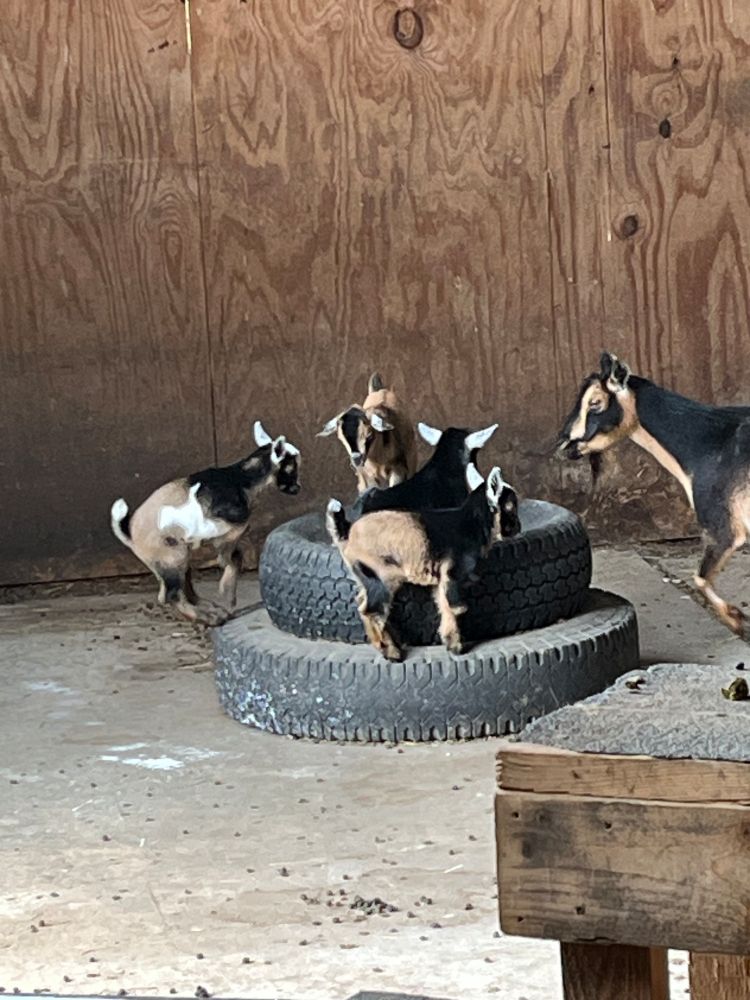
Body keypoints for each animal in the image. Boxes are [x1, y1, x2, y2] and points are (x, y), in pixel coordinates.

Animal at [110, 421, 301, 625]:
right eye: (292, 467)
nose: (297, 488)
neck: (241, 478)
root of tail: (130, 534)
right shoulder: (226, 529)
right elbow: (233, 557)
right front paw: (227, 593)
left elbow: (236, 556)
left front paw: (228, 596)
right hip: (172, 554)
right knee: (171, 595)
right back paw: (208, 617)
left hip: (175, 559)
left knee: (177, 589)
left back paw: (208, 608)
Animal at [327, 464, 520, 661]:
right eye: (510, 506)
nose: (518, 527)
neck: (473, 521)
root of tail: (347, 533)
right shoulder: (453, 573)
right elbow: (457, 607)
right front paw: (458, 647)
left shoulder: (443, 579)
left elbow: (444, 604)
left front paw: (451, 643)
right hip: (382, 577)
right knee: (372, 611)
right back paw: (392, 652)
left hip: (367, 576)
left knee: (363, 604)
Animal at [557, 350, 750, 636]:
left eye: (595, 403)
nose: (564, 442)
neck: (706, 442)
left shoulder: (722, 524)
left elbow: (700, 578)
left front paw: (737, 618)